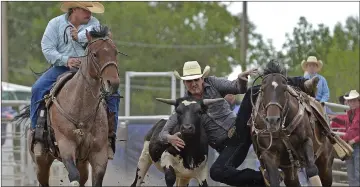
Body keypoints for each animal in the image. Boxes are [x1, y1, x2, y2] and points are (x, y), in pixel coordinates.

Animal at [14, 25, 121, 186]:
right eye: (95, 54)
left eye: (115, 52)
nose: (113, 83)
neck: (81, 108)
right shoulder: (66, 147)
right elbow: (74, 177)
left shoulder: (99, 154)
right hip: (41, 162)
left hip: (82, 161)